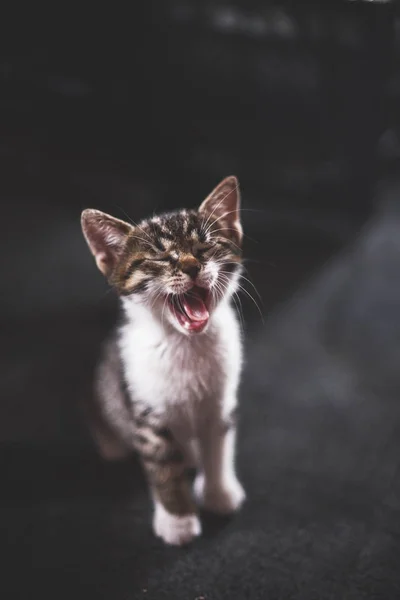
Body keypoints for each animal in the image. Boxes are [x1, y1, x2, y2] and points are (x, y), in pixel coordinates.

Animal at [79, 176, 245, 548]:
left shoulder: (221, 402)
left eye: (204, 247)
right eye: (160, 257)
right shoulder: (146, 412)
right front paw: (178, 521)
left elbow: (218, 447)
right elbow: (163, 466)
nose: (191, 266)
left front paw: (218, 494)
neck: (187, 345)